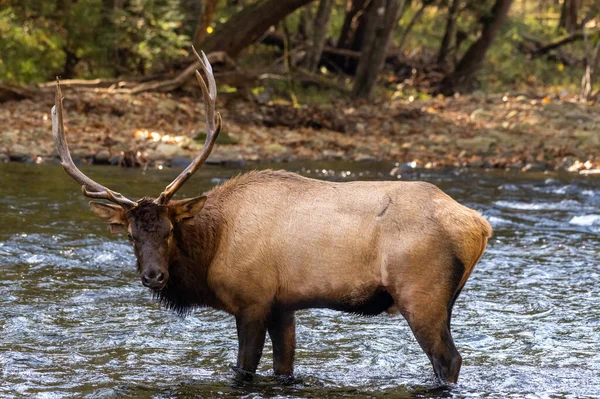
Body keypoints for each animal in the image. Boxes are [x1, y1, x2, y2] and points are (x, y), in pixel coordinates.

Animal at [51, 47, 492, 388]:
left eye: (169, 229)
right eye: (130, 235)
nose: (153, 275)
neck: (213, 249)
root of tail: (480, 225)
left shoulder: (252, 300)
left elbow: (243, 369)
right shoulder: (284, 305)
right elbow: (284, 368)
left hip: (420, 291)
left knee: (448, 359)